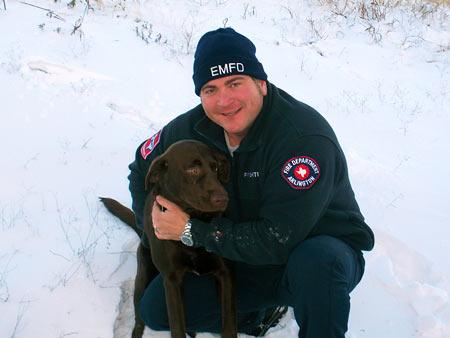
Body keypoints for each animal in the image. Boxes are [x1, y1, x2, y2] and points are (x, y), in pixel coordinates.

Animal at [100, 139, 237, 338]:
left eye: (217, 168)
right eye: (192, 170)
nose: (223, 199)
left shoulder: (225, 273)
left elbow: (229, 327)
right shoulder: (171, 280)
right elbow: (177, 327)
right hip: (143, 276)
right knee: (139, 317)